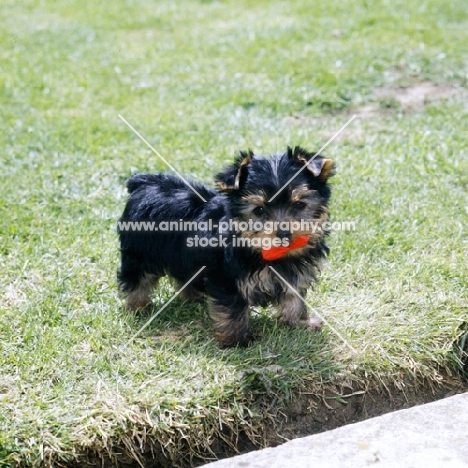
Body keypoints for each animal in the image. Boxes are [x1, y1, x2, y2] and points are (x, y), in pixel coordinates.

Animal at [119, 146, 334, 348]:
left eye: (299, 205)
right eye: (259, 210)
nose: (283, 234)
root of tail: (144, 183)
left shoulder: (293, 272)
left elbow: (293, 297)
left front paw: (299, 322)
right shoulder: (226, 277)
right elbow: (232, 308)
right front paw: (237, 340)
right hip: (139, 253)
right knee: (137, 278)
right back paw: (139, 307)